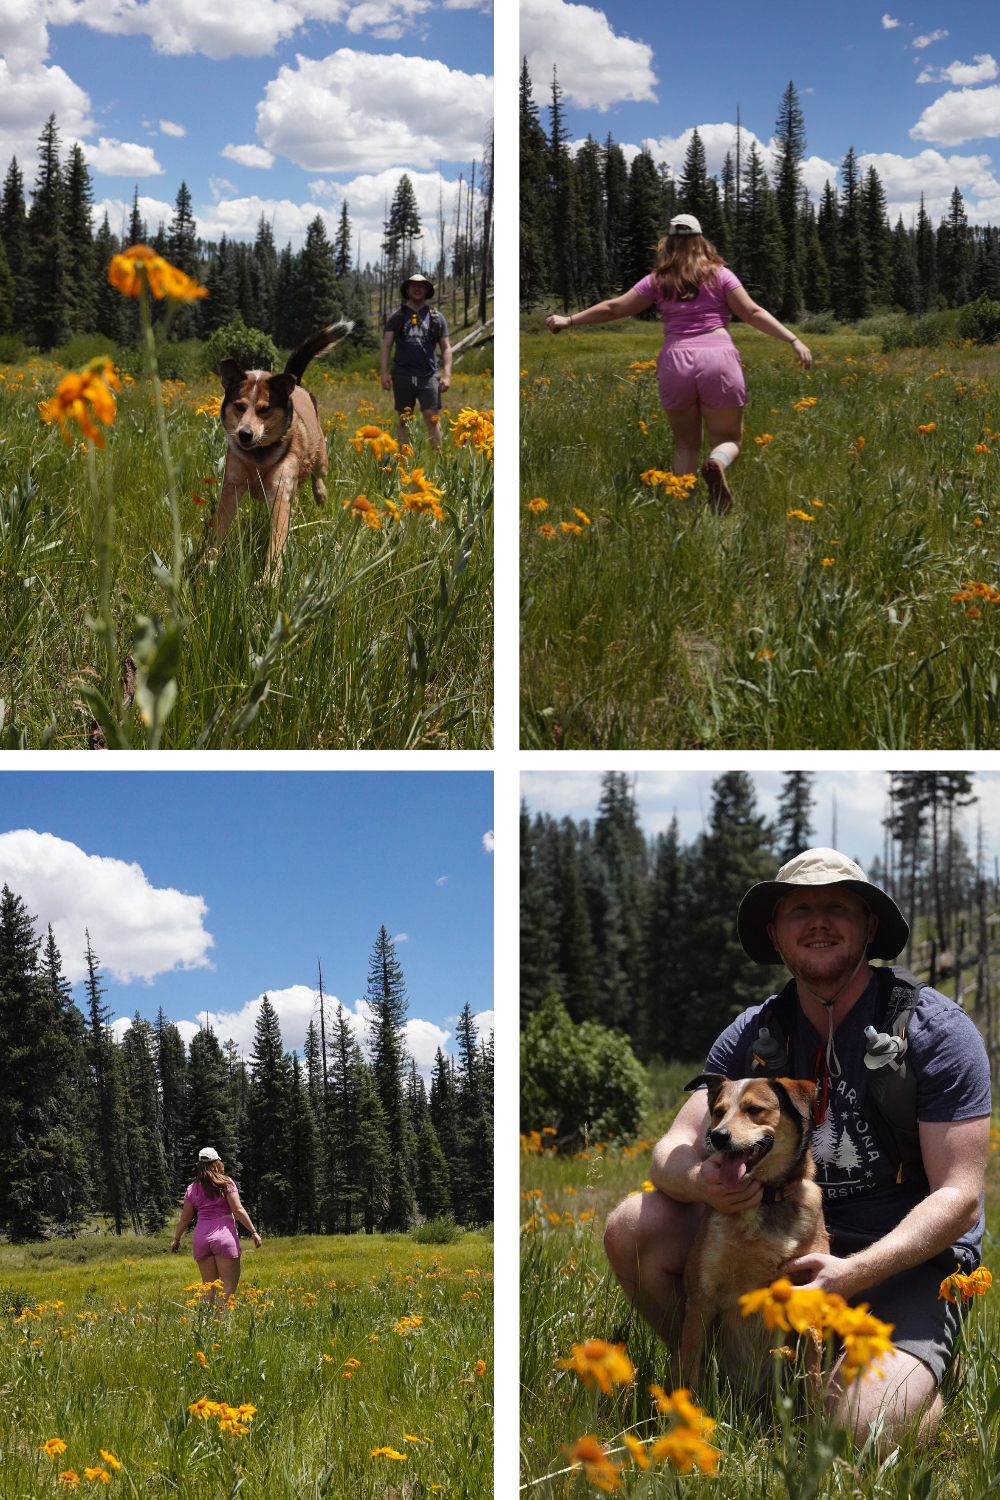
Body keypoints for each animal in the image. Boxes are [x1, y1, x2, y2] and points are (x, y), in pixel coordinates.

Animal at [212, 324, 353, 579]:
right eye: (239, 406)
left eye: (264, 409)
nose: (245, 434)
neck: (258, 456)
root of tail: (297, 386)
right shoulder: (232, 484)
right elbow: (220, 526)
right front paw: (207, 566)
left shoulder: (280, 488)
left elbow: (277, 538)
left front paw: (270, 578)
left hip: (321, 457)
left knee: (317, 473)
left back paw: (320, 493)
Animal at [680, 1074, 827, 1386]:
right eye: (718, 1111)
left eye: (755, 1109)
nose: (718, 1136)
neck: (765, 1199)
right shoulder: (701, 1299)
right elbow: (689, 1374)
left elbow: (813, 1381)